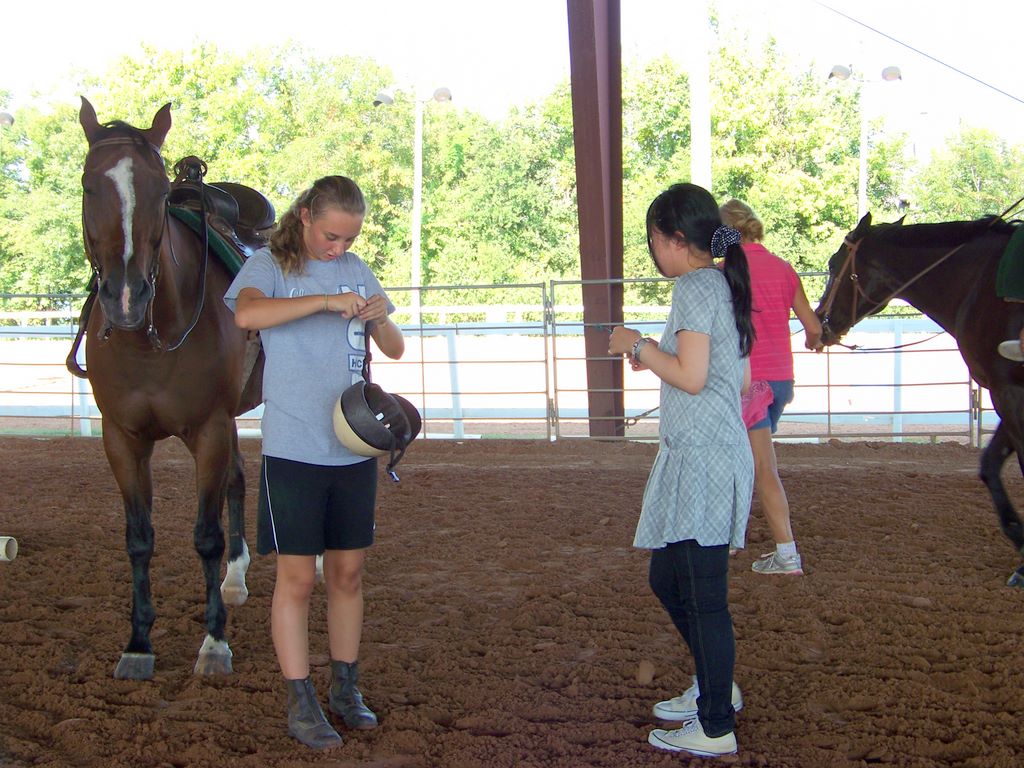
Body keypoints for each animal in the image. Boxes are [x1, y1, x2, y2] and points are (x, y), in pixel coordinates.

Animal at [72, 97, 264, 678]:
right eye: (89, 185)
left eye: (159, 190)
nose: (126, 296)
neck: (148, 342)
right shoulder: (122, 439)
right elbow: (139, 539)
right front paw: (138, 643)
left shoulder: (208, 430)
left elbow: (205, 536)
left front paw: (215, 642)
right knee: (238, 480)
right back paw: (236, 578)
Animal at [816, 212, 1024, 587]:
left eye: (834, 263)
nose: (821, 318)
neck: (978, 282)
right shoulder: (1005, 394)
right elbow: (989, 465)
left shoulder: (1009, 392)